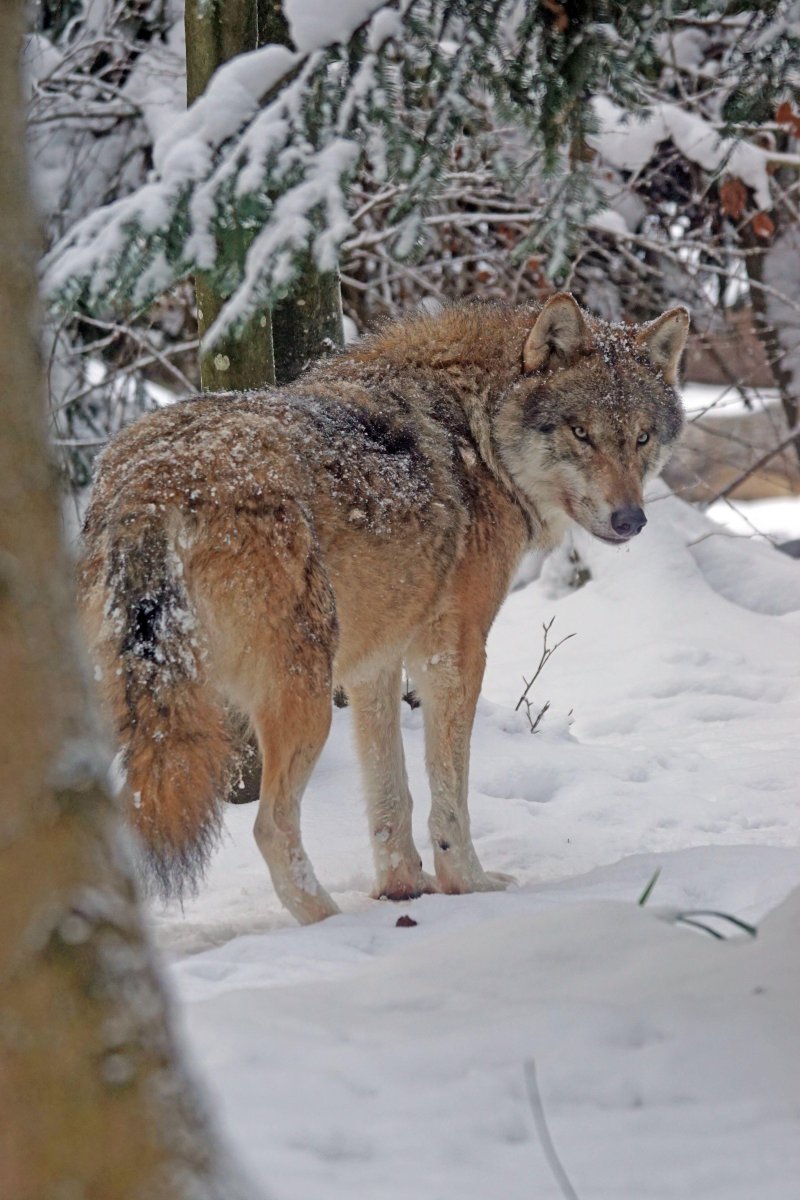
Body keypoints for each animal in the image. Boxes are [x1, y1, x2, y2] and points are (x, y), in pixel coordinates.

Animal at [81, 295, 690, 921]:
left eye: (642, 437)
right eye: (581, 433)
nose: (630, 520)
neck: (479, 433)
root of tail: (154, 485)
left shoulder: (374, 665)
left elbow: (389, 797)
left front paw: (402, 887)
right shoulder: (452, 655)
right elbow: (449, 799)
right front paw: (468, 885)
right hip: (303, 700)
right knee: (270, 828)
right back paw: (327, 921)